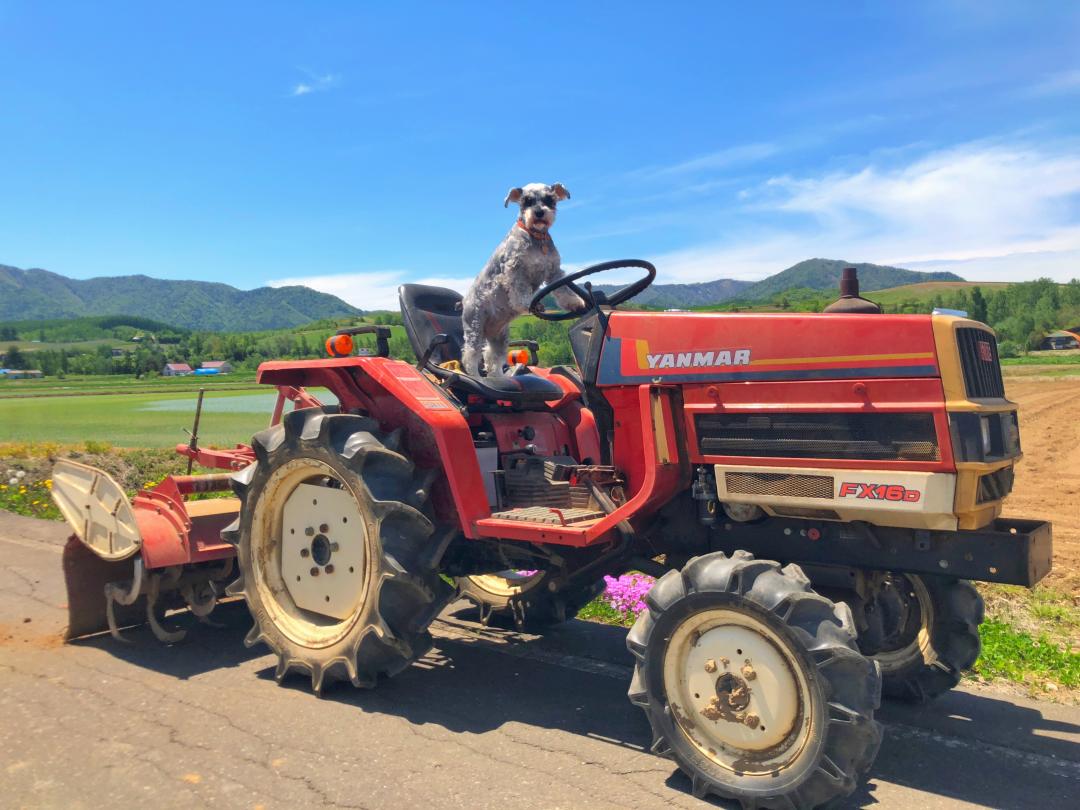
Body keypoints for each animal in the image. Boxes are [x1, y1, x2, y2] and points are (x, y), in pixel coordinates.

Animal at [462, 182, 587, 380]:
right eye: (526, 201)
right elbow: (520, 290)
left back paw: (499, 378)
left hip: (499, 337)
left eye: (549, 199)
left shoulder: (554, 271)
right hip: (475, 328)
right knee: (470, 356)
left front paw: (574, 302)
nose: (539, 212)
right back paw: (475, 377)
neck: (536, 237)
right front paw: (528, 304)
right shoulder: (514, 269)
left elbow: (563, 290)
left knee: (492, 357)